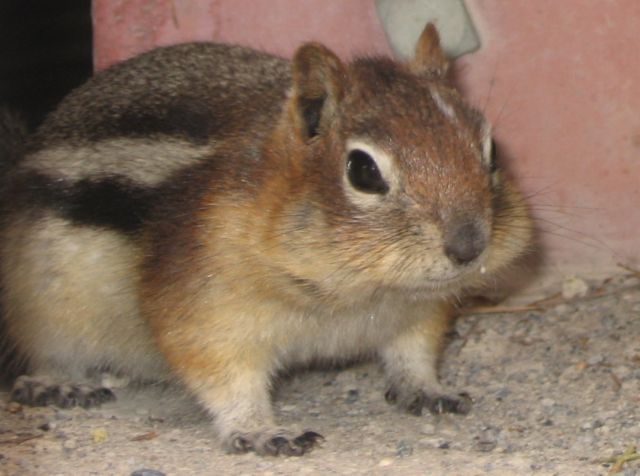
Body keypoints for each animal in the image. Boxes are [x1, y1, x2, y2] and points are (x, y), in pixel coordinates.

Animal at [0, 24, 532, 456]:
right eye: (363, 171)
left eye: (491, 150)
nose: (470, 246)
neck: (357, 294)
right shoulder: (202, 311)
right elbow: (225, 380)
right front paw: (261, 430)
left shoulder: (419, 312)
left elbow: (413, 353)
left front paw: (429, 389)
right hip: (44, 307)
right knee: (42, 353)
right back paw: (58, 384)